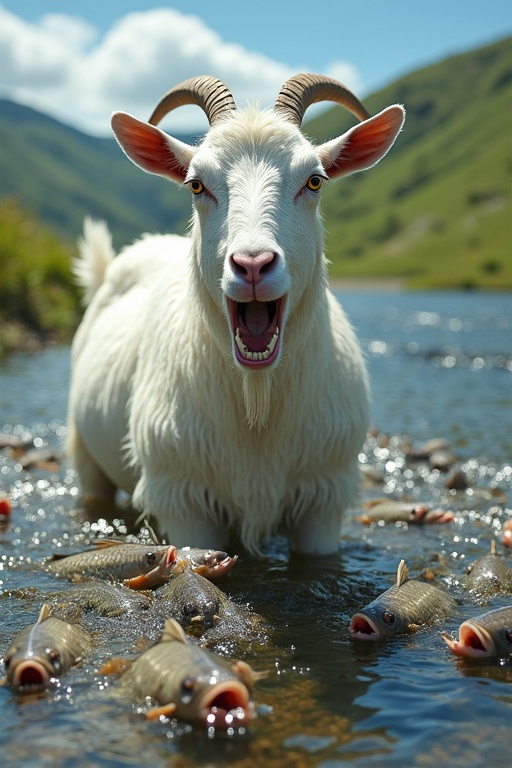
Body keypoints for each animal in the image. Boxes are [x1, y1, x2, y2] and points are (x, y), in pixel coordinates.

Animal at [67, 75, 404, 556]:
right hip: (85, 456)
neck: (256, 407)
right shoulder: (185, 501)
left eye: (315, 181)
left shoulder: (323, 498)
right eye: (196, 185)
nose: (253, 264)